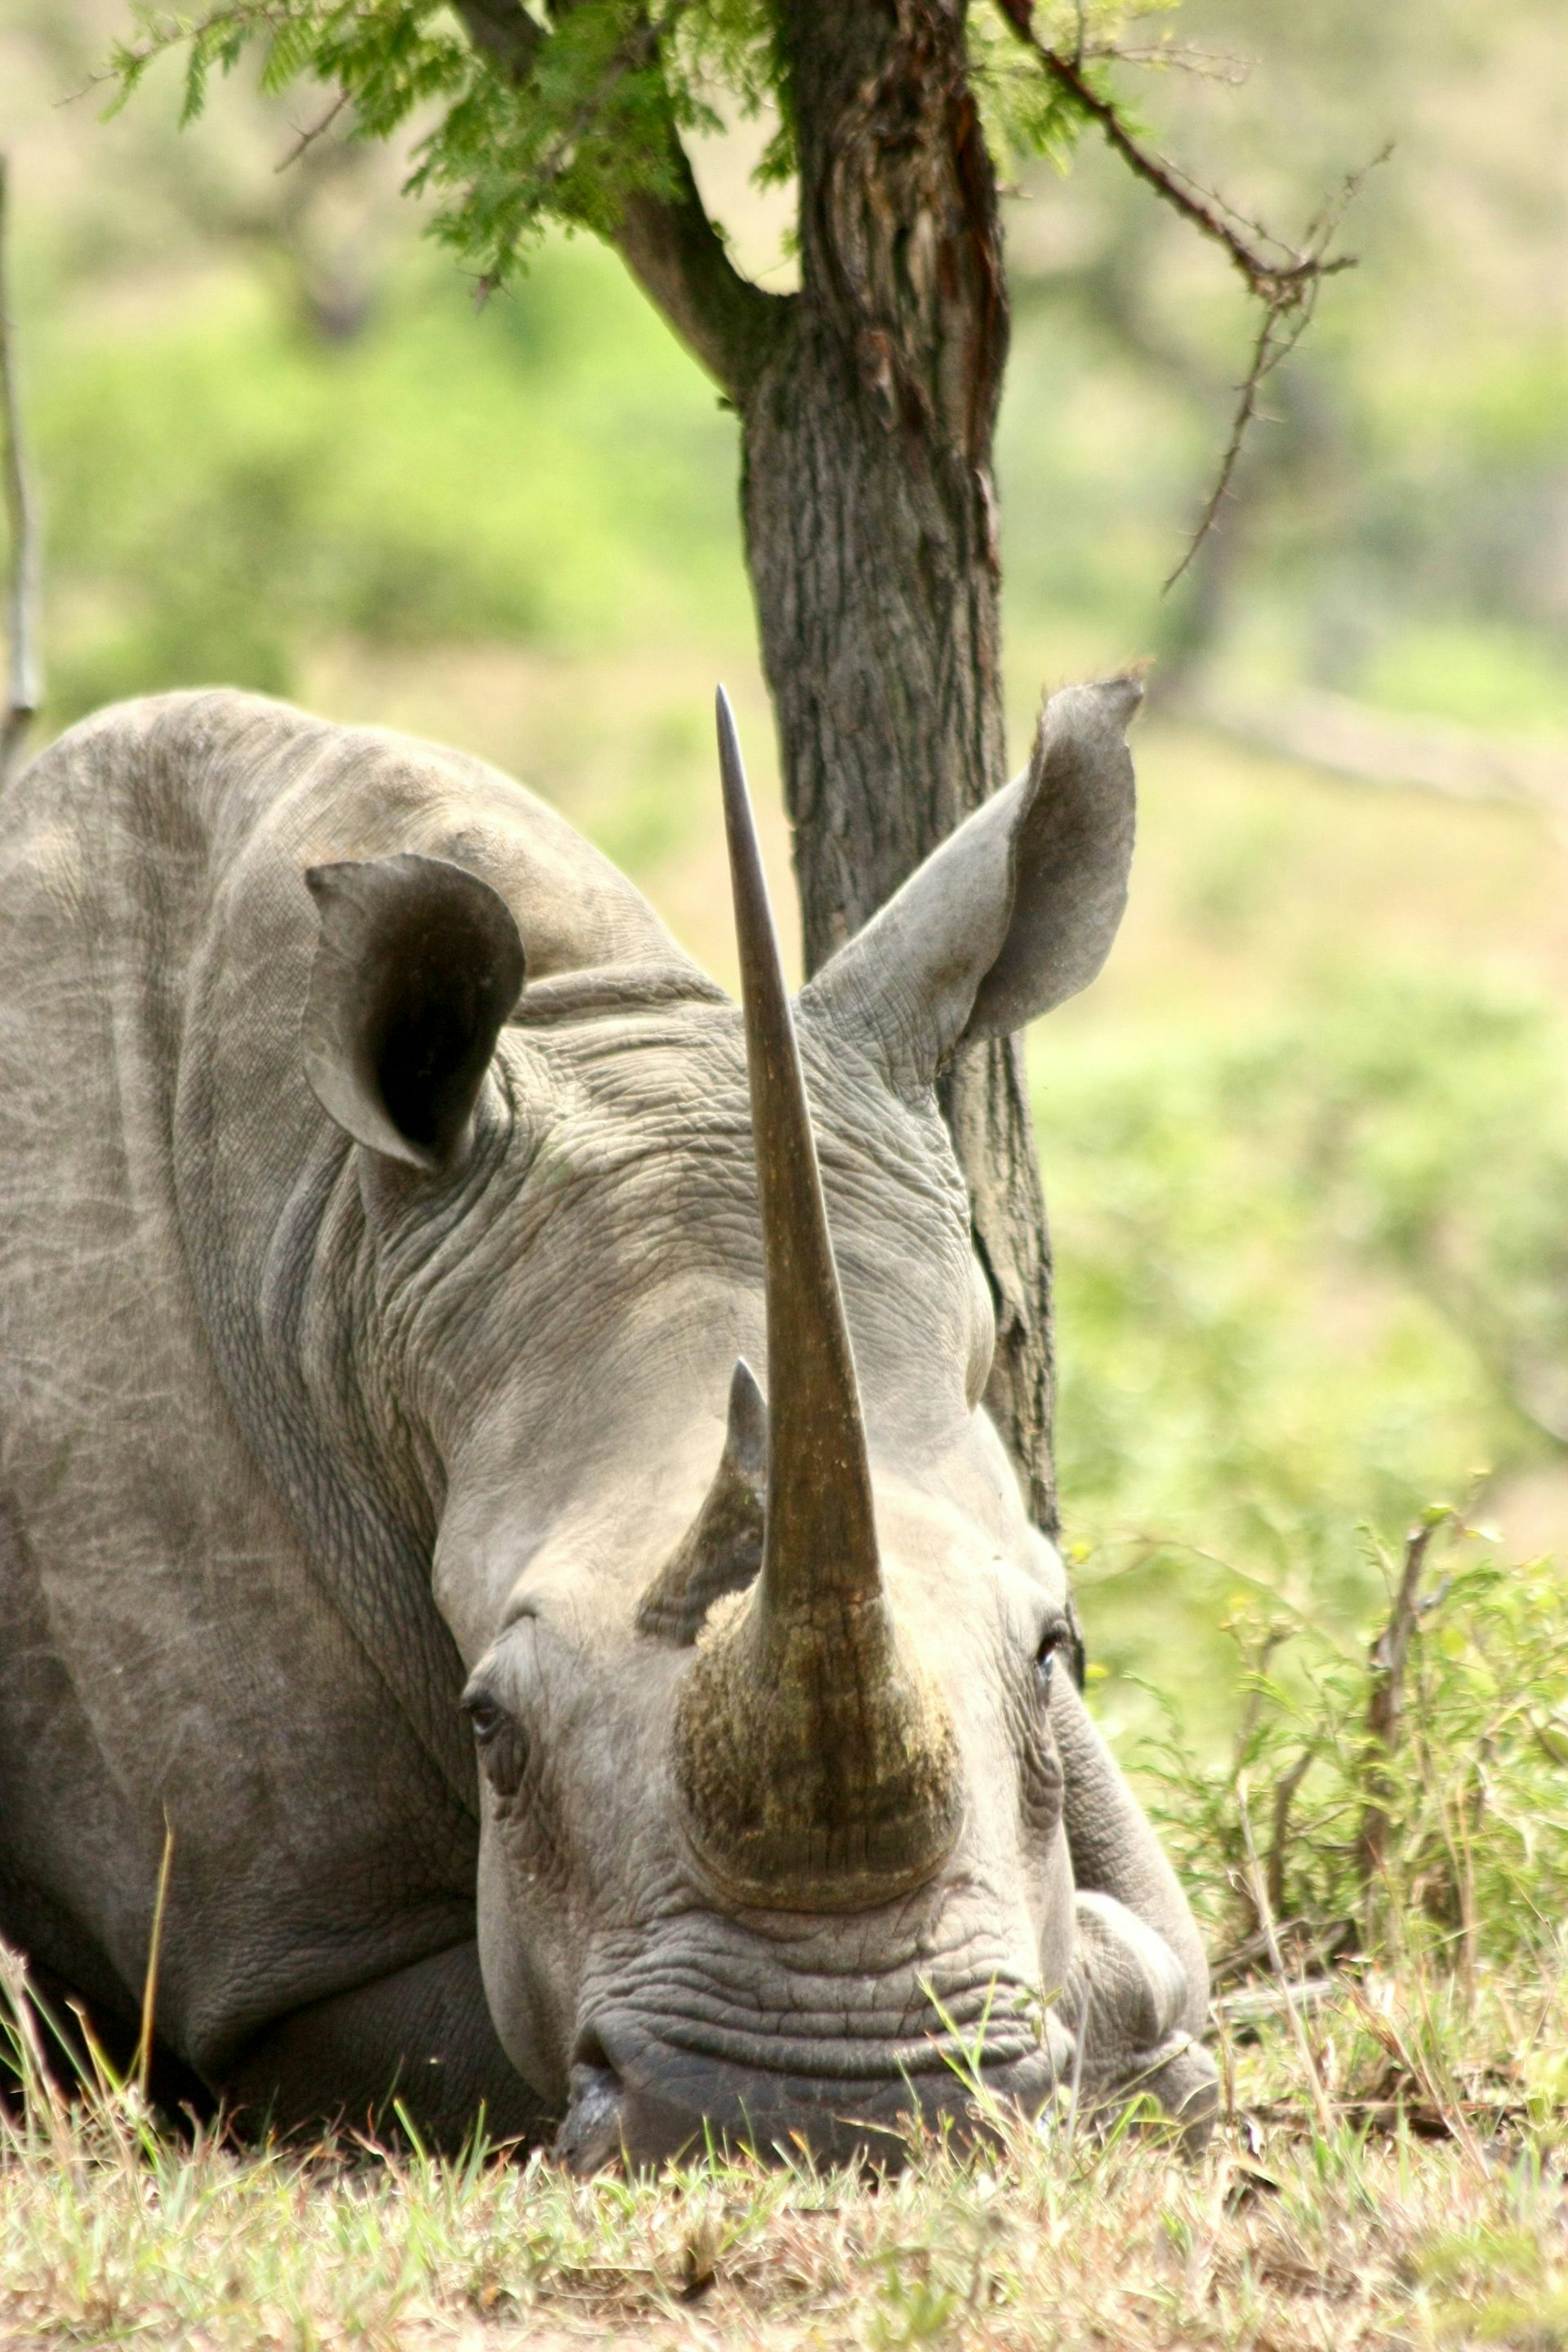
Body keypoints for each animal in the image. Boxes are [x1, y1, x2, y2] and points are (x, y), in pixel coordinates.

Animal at [0, 680, 1215, 2165]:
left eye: (1056, 1648)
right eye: (489, 1724)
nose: (834, 2107)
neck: (341, 1242)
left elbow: (1160, 1950)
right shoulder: (288, 1948)